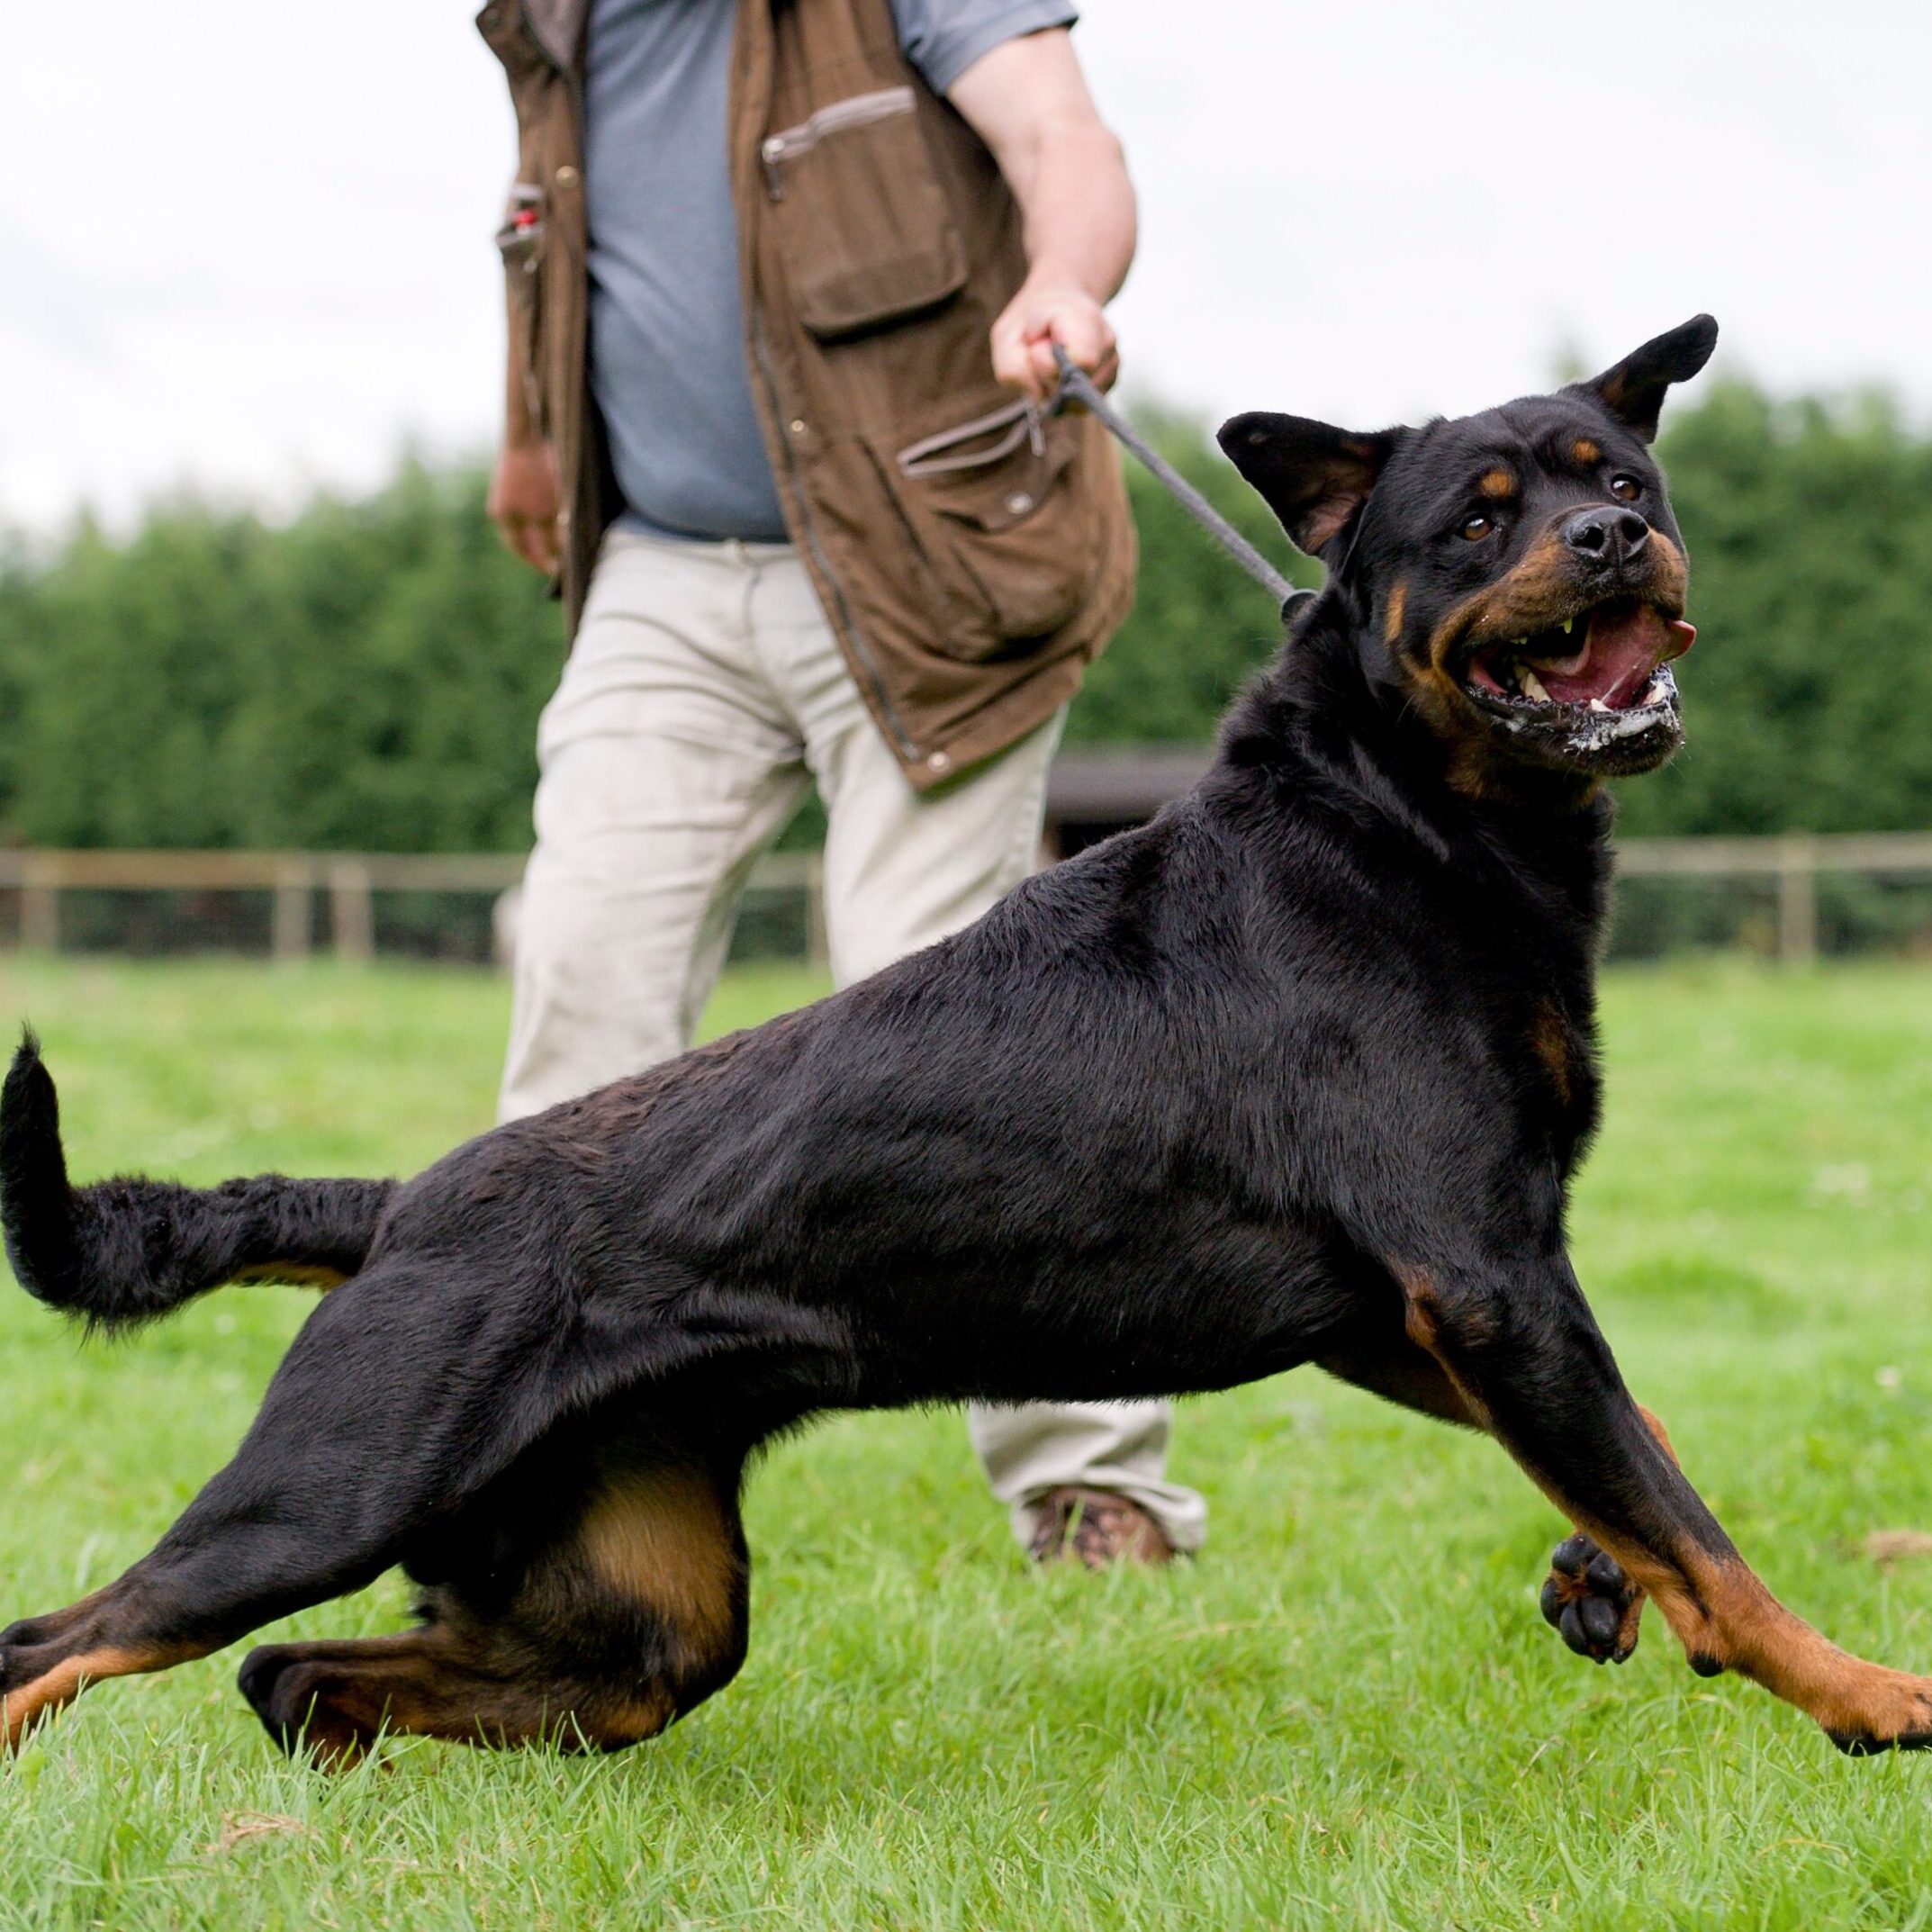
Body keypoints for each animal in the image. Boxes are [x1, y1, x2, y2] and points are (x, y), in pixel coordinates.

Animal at [4, 305, 1932, 1769]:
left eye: (1626, 480)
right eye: (1478, 518)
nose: (1613, 541)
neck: (1402, 820)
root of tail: (402, 1203)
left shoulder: (1413, 1311)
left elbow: (1644, 1453)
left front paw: (1599, 1580)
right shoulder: (1479, 1275)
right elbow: (1702, 1523)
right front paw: (1864, 1694)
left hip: (641, 1610)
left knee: (308, 1675)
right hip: (333, 1490)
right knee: (75, 1635)